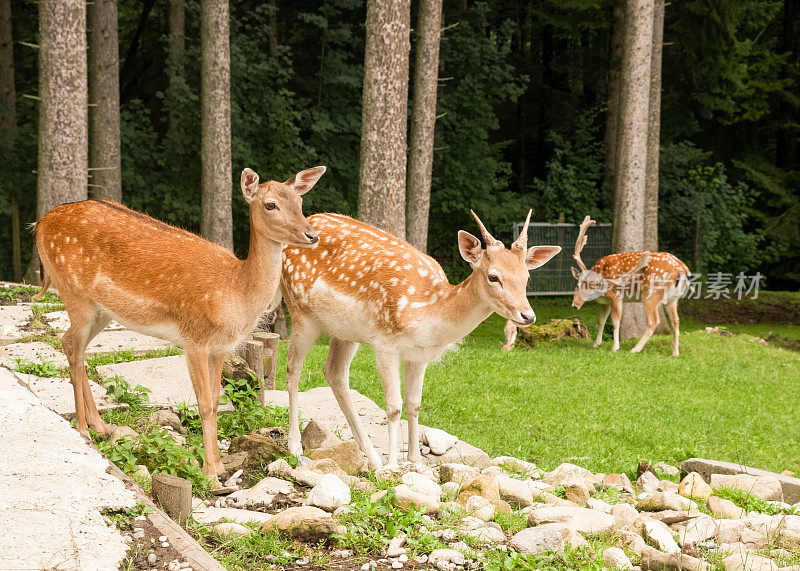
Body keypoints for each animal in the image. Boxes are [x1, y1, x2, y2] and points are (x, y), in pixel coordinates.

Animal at [32, 165, 324, 478]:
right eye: (270, 204)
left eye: (300, 202)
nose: (311, 235)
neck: (235, 293)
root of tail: (39, 224)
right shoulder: (194, 337)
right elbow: (204, 403)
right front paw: (210, 472)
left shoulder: (220, 347)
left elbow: (217, 401)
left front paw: (220, 465)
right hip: (73, 291)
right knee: (73, 346)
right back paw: (83, 429)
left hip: (102, 311)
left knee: (72, 345)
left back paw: (100, 425)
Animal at [282, 210, 564, 470]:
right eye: (493, 277)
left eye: (527, 278)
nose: (527, 315)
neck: (427, 313)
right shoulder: (385, 343)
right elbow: (394, 406)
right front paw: (393, 465)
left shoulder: (418, 356)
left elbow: (415, 404)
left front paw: (415, 462)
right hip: (299, 310)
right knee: (293, 368)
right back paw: (295, 446)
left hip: (345, 332)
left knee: (334, 372)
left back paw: (371, 457)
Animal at [572, 216, 692, 356]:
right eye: (577, 285)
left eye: (592, 286)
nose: (575, 305)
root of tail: (682, 269)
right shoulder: (605, 302)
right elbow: (601, 320)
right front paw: (596, 344)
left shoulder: (615, 295)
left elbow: (615, 322)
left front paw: (615, 347)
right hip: (673, 299)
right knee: (676, 321)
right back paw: (675, 353)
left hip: (651, 294)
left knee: (654, 321)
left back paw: (635, 348)